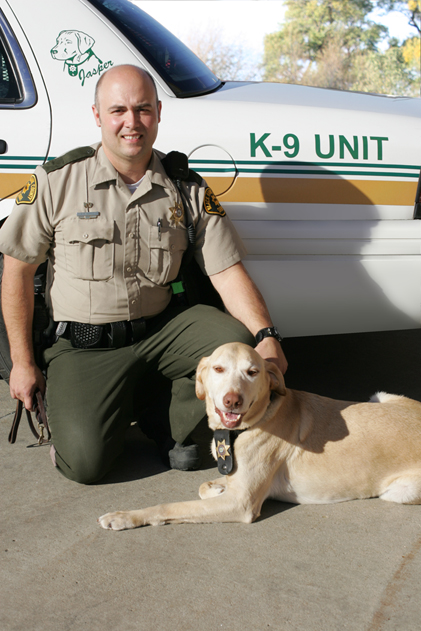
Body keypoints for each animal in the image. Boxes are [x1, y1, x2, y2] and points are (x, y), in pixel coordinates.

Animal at [97, 344, 420, 532]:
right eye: (218, 369)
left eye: (252, 372)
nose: (232, 401)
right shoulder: (237, 487)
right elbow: (205, 486)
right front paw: (216, 487)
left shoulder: (241, 505)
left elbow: (171, 507)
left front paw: (125, 516)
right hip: (380, 396)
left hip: (399, 491)